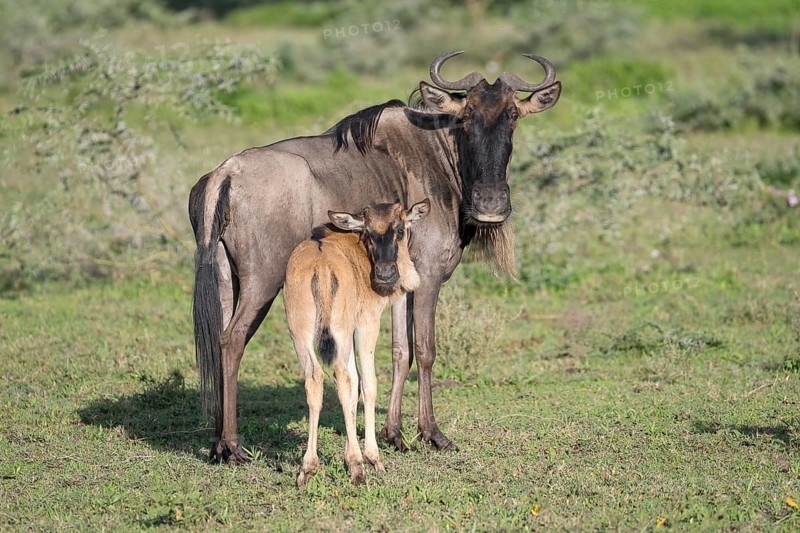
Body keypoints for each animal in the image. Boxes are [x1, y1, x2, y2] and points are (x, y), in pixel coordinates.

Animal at [284, 200, 430, 486]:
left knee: (316, 378)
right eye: (368, 232)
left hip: (301, 333)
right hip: (337, 331)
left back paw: (308, 468)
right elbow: (368, 385)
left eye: (399, 229)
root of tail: (320, 265)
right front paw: (371, 458)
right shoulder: (366, 324)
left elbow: (353, 387)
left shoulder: (347, 333)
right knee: (340, 377)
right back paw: (357, 467)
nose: (385, 274)